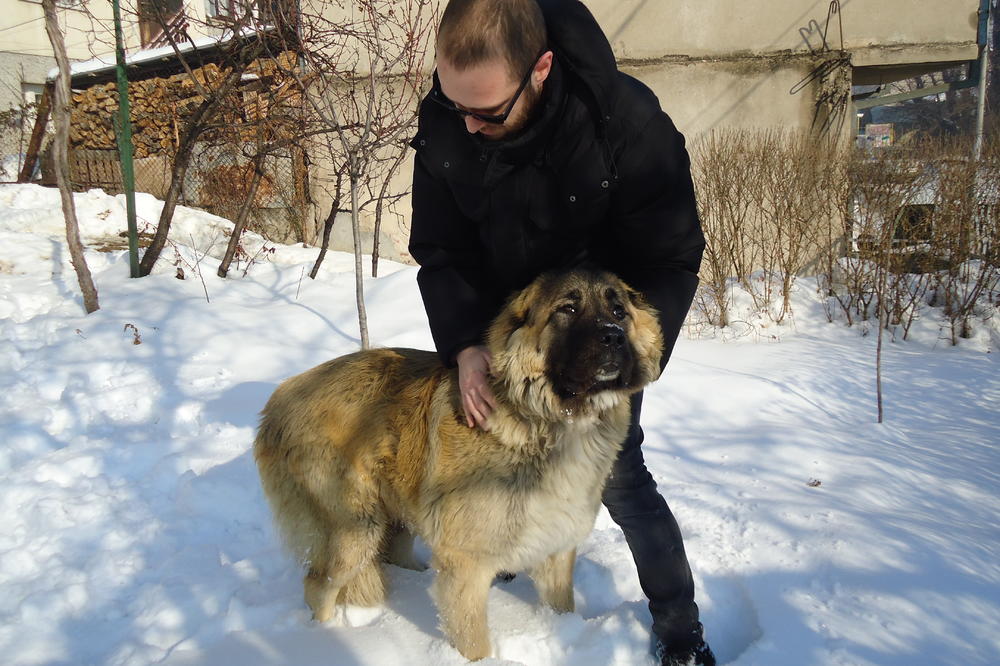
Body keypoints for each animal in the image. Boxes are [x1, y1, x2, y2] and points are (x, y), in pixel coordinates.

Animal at [254, 268, 664, 656]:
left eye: (619, 311)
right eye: (568, 309)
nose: (613, 337)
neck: (543, 421)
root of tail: (280, 396)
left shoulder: (556, 548)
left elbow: (562, 606)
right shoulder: (466, 563)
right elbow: (474, 640)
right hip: (354, 527)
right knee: (317, 584)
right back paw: (323, 639)